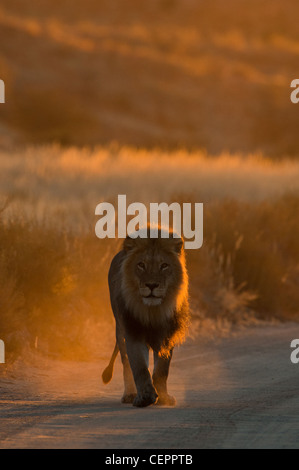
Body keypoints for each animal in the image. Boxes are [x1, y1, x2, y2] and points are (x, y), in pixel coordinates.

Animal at [101, 228, 190, 408]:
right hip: (120, 330)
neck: (153, 310)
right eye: (141, 265)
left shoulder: (167, 335)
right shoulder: (133, 332)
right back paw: (130, 394)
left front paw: (163, 397)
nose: (152, 285)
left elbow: (161, 370)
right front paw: (145, 397)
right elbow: (139, 367)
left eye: (164, 265)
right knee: (126, 363)